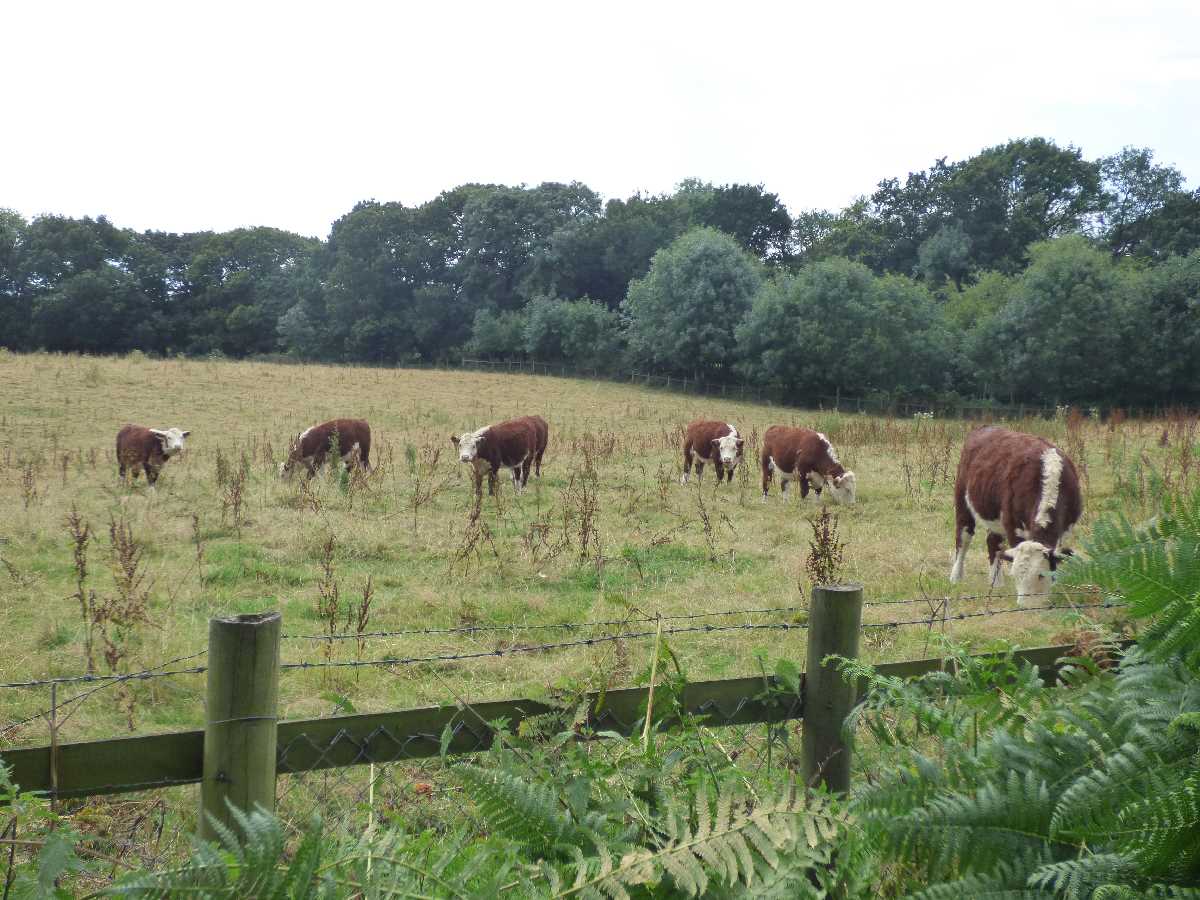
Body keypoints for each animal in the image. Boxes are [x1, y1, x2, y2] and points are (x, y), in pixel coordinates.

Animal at [949, 426, 1082, 604]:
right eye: (1015, 576)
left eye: (1041, 575)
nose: (1025, 606)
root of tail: (985, 428)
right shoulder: (1013, 524)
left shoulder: (1065, 529)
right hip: (962, 499)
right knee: (963, 537)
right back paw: (956, 577)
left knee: (993, 542)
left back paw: (996, 582)